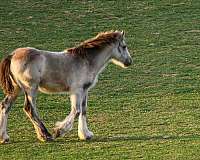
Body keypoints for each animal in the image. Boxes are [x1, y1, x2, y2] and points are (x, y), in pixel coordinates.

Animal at [0, 30, 133, 143]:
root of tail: (12, 55)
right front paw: (59, 131)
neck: (85, 61)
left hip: (16, 89)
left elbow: (83, 110)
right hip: (30, 89)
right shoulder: (76, 90)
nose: (129, 62)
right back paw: (45, 135)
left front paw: (85, 134)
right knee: (29, 109)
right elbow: (76, 111)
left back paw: (4, 137)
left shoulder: (84, 90)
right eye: (124, 46)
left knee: (5, 106)